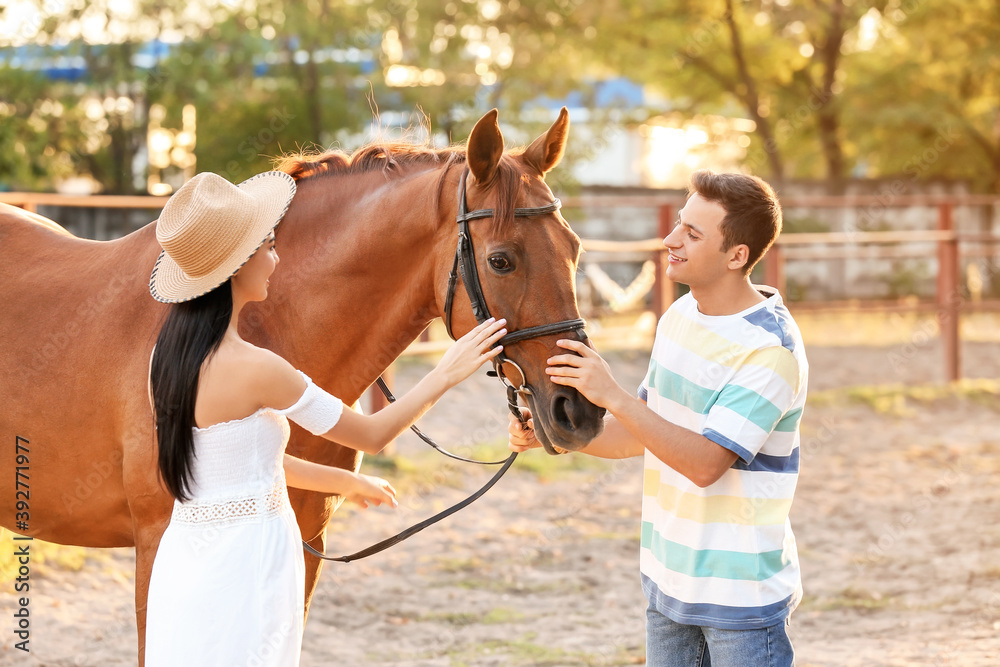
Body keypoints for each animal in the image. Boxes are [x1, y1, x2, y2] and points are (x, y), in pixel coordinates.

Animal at [0, 107, 600, 660]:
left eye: (574, 248)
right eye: (501, 260)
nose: (581, 410)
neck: (246, 322)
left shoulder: (306, 537)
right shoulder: (159, 546)